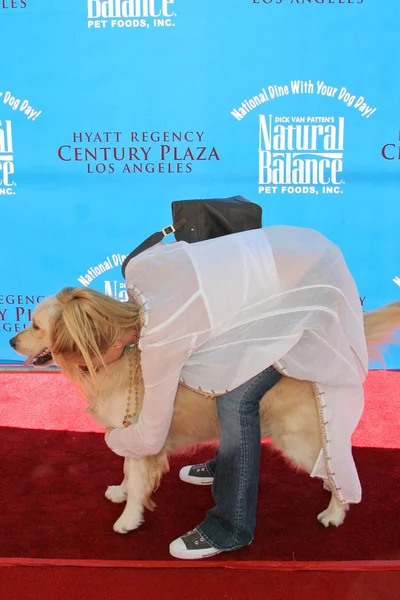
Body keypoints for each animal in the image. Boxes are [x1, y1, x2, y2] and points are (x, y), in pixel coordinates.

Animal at [9, 296, 400, 536]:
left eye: (36, 326)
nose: (11, 342)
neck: (112, 359)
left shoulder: (144, 432)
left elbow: (137, 479)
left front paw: (128, 518)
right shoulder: (131, 434)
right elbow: (127, 471)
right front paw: (121, 492)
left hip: (294, 440)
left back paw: (335, 512)